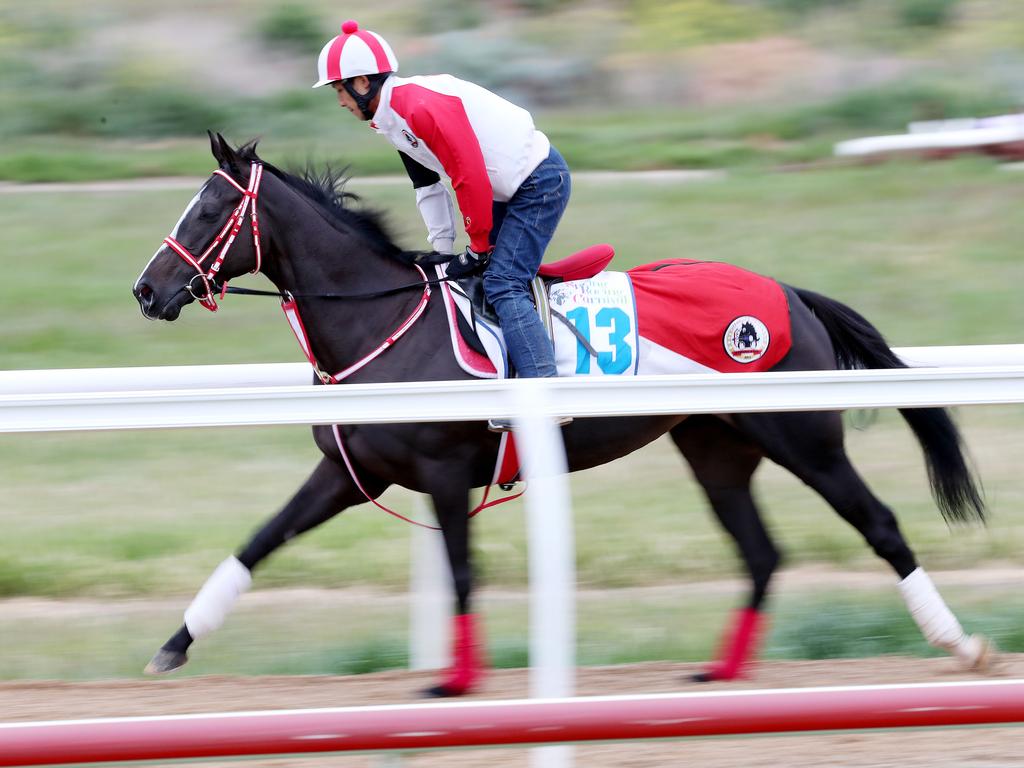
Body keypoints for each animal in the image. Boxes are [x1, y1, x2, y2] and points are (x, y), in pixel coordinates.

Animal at [132, 134, 987, 696]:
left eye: (209, 209)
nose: (147, 289)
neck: (383, 322)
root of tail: (789, 292)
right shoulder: (350, 472)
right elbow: (257, 543)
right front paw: (172, 646)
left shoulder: (445, 471)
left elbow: (463, 572)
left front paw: (457, 681)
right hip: (716, 450)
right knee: (762, 553)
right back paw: (723, 671)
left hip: (806, 440)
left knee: (878, 524)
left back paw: (959, 644)